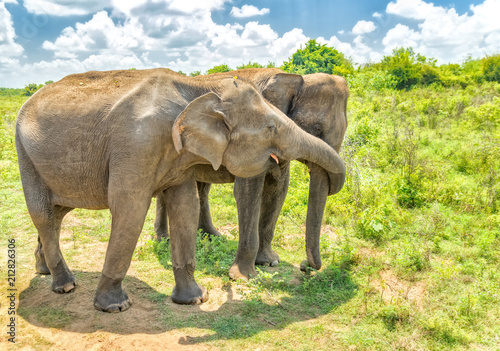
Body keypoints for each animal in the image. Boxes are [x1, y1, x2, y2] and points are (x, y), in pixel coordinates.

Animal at [14, 68, 344, 314]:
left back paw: (43, 269)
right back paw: (65, 285)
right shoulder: (137, 144)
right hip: (25, 154)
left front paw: (196, 299)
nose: (306, 267)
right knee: (43, 214)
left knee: (57, 212)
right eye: (272, 128)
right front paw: (115, 307)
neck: (198, 88)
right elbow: (130, 209)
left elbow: (186, 205)